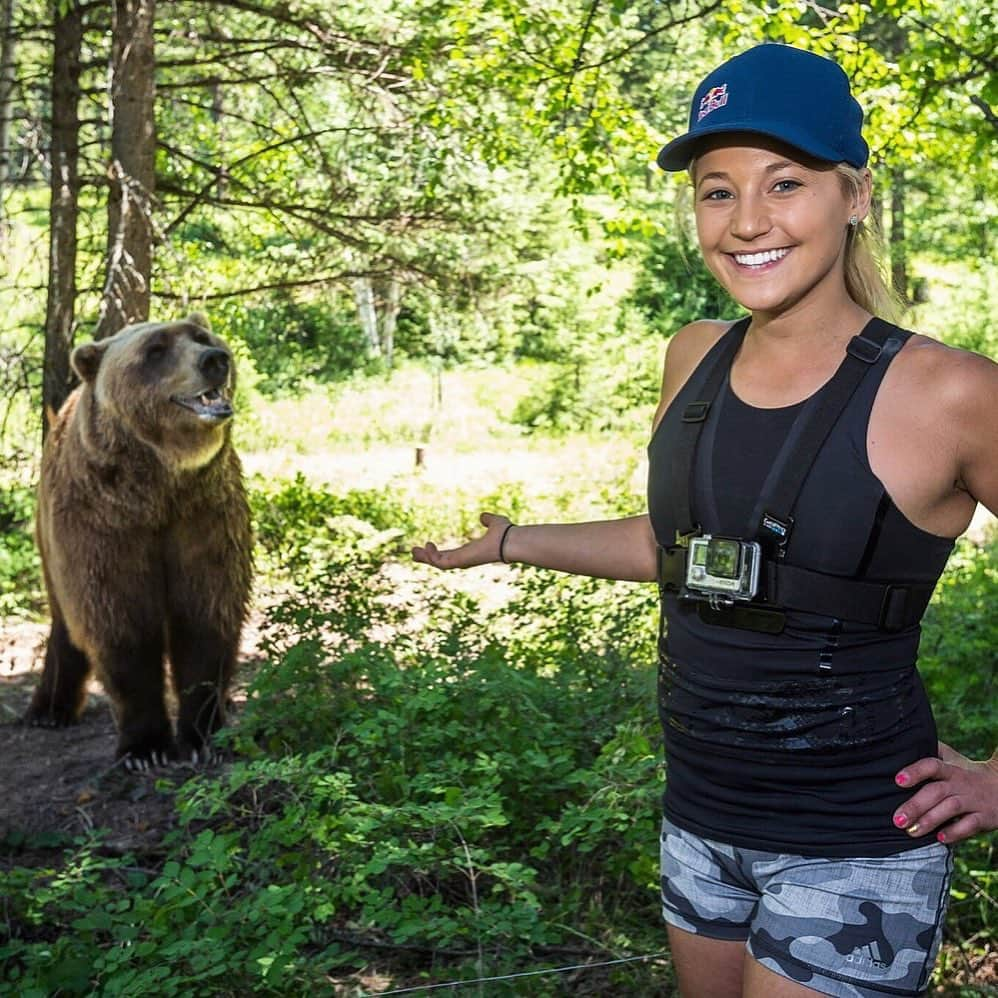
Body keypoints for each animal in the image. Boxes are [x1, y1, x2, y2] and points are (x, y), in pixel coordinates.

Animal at [27, 316, 256, 768]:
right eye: (155, 349)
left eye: (200, 336)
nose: (215, 360)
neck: (157, 488)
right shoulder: (104, 527)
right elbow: (120, 624)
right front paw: (145, 747)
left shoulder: (203, 517)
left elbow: (207, 615)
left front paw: (204, 735)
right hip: (49, 533)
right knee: (65, 621)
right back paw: (47, 710)